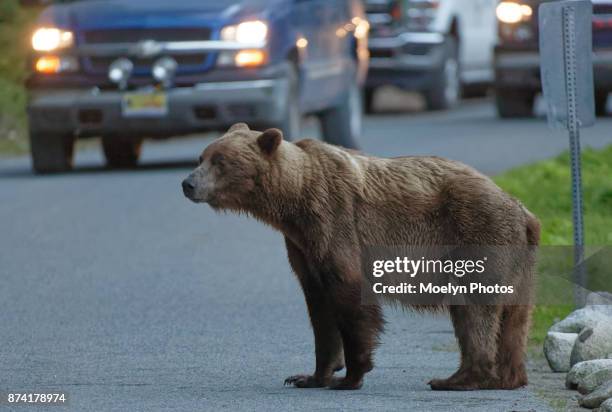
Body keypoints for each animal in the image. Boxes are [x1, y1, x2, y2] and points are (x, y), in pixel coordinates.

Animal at [183, 122, 540, 390]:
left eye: (220, 161)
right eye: (202, 156)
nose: (187, 183)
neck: (294, 202)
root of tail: (524, 212)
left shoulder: (334, 221)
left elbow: (350, 296)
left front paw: (352, 374)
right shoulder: (302, 246)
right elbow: (318, 308)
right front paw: (310, 376)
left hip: (478, 236)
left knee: (474, 310)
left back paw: (457, 378)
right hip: (518, 262)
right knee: (514, 318)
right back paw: (506, 377)